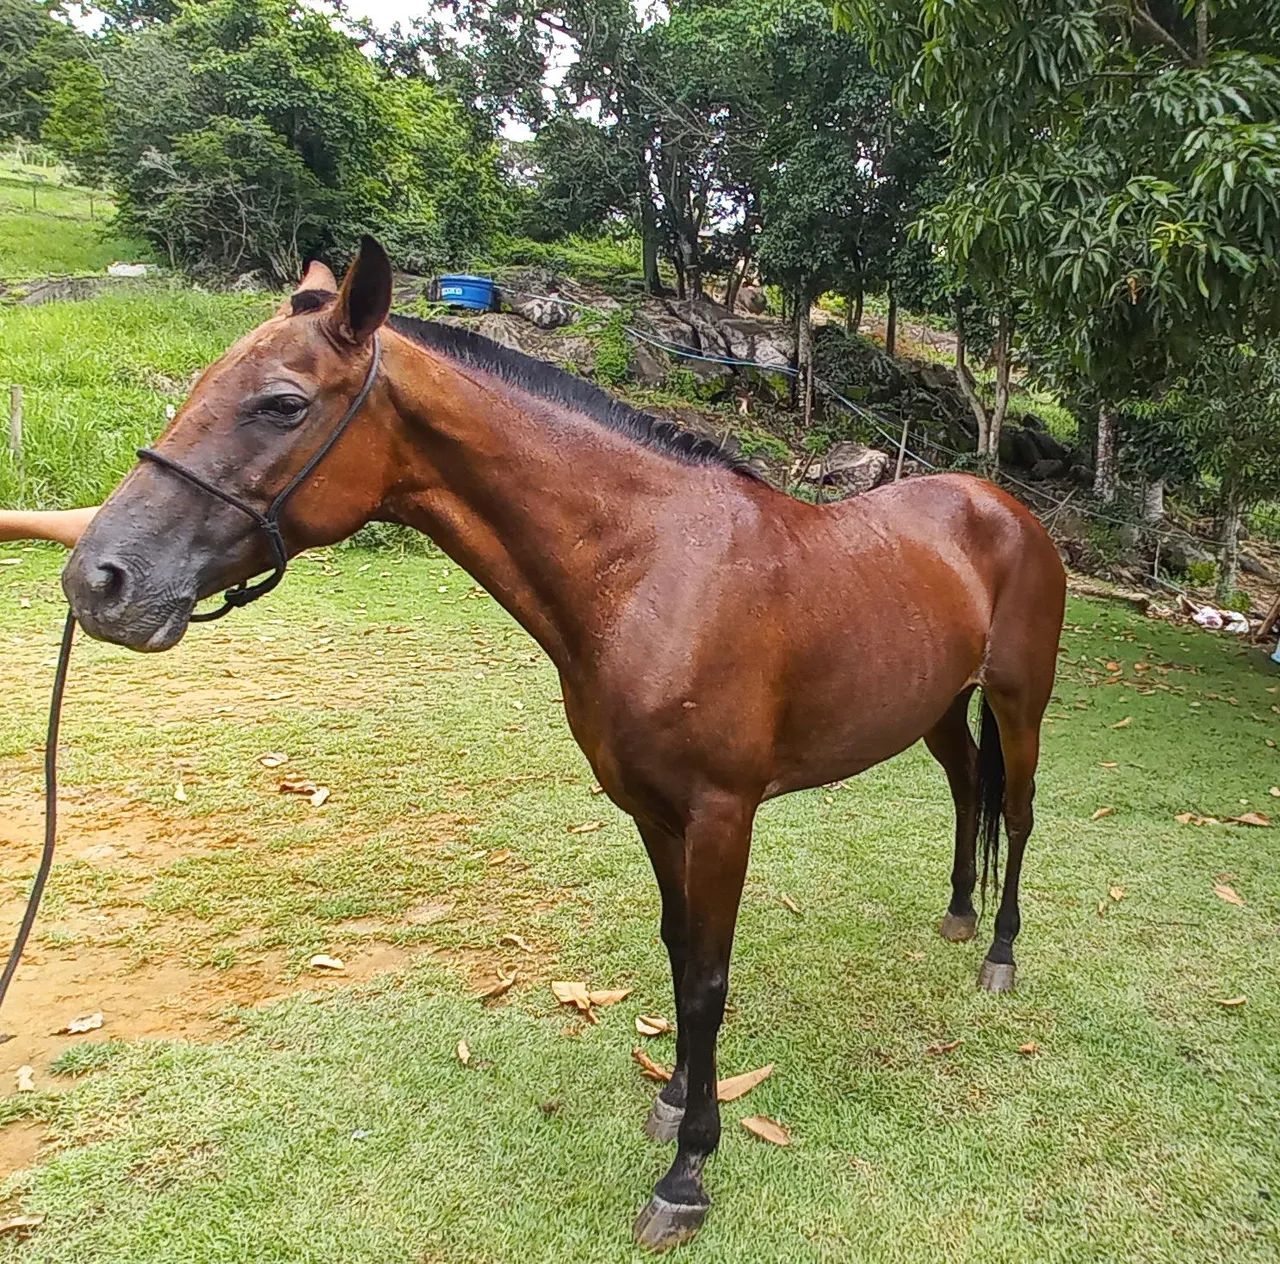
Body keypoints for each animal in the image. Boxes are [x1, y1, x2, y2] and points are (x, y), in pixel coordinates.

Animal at [62, 237, 1066, 1252]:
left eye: (281, 403)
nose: (99, 579)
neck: (651, 571)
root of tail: (1002, 505)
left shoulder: (721, 816)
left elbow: (707, 979)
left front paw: (687, 1173)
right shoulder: (653, 811)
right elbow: (677, 951)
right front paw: (674, 1098)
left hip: (1019, 704)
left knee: (1017, 816)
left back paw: (1000, 952)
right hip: (937, 709)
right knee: (964, 793)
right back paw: (958, 912)